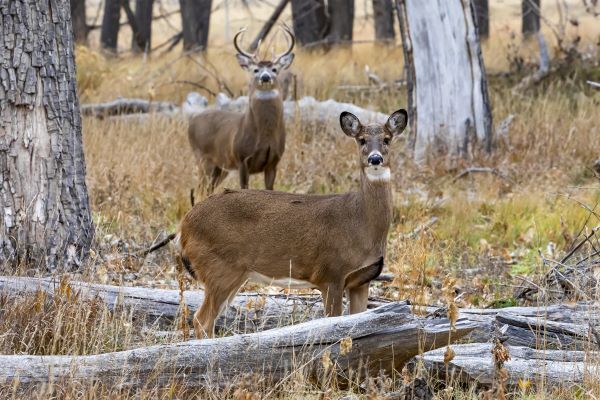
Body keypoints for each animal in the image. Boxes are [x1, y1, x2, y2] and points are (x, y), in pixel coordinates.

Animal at [175, 108, 408, 338]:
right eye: (361, 140)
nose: (375, 159)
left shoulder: (362, 280)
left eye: (387, 139)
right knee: (201, 320)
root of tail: (184, 227)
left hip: (232, 273)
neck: (361, 222)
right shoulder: (330, 273)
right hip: (219, 268)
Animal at [188, 27, 296, 193]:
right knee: (200, 190)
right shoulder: (241, 158)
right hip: (202, 158)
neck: (264, 135)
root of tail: (192, 121)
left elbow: (270, 189)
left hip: (221, 168)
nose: (265, 77)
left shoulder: (274, 161)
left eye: (274, 69)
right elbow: (244, 187)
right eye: (256, 70)